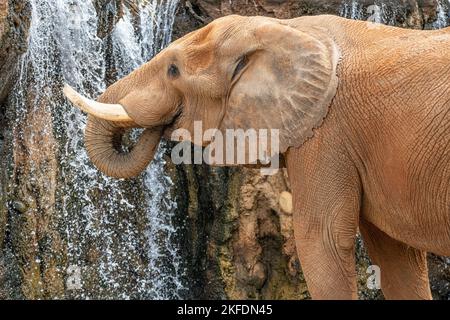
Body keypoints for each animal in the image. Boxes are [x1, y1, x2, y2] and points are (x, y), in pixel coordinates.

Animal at [64, 15, 450, 300]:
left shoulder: (327, 133)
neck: (284, 28)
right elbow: (396, 256)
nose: (163, 128)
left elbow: (321, 240)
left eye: (173, 70)